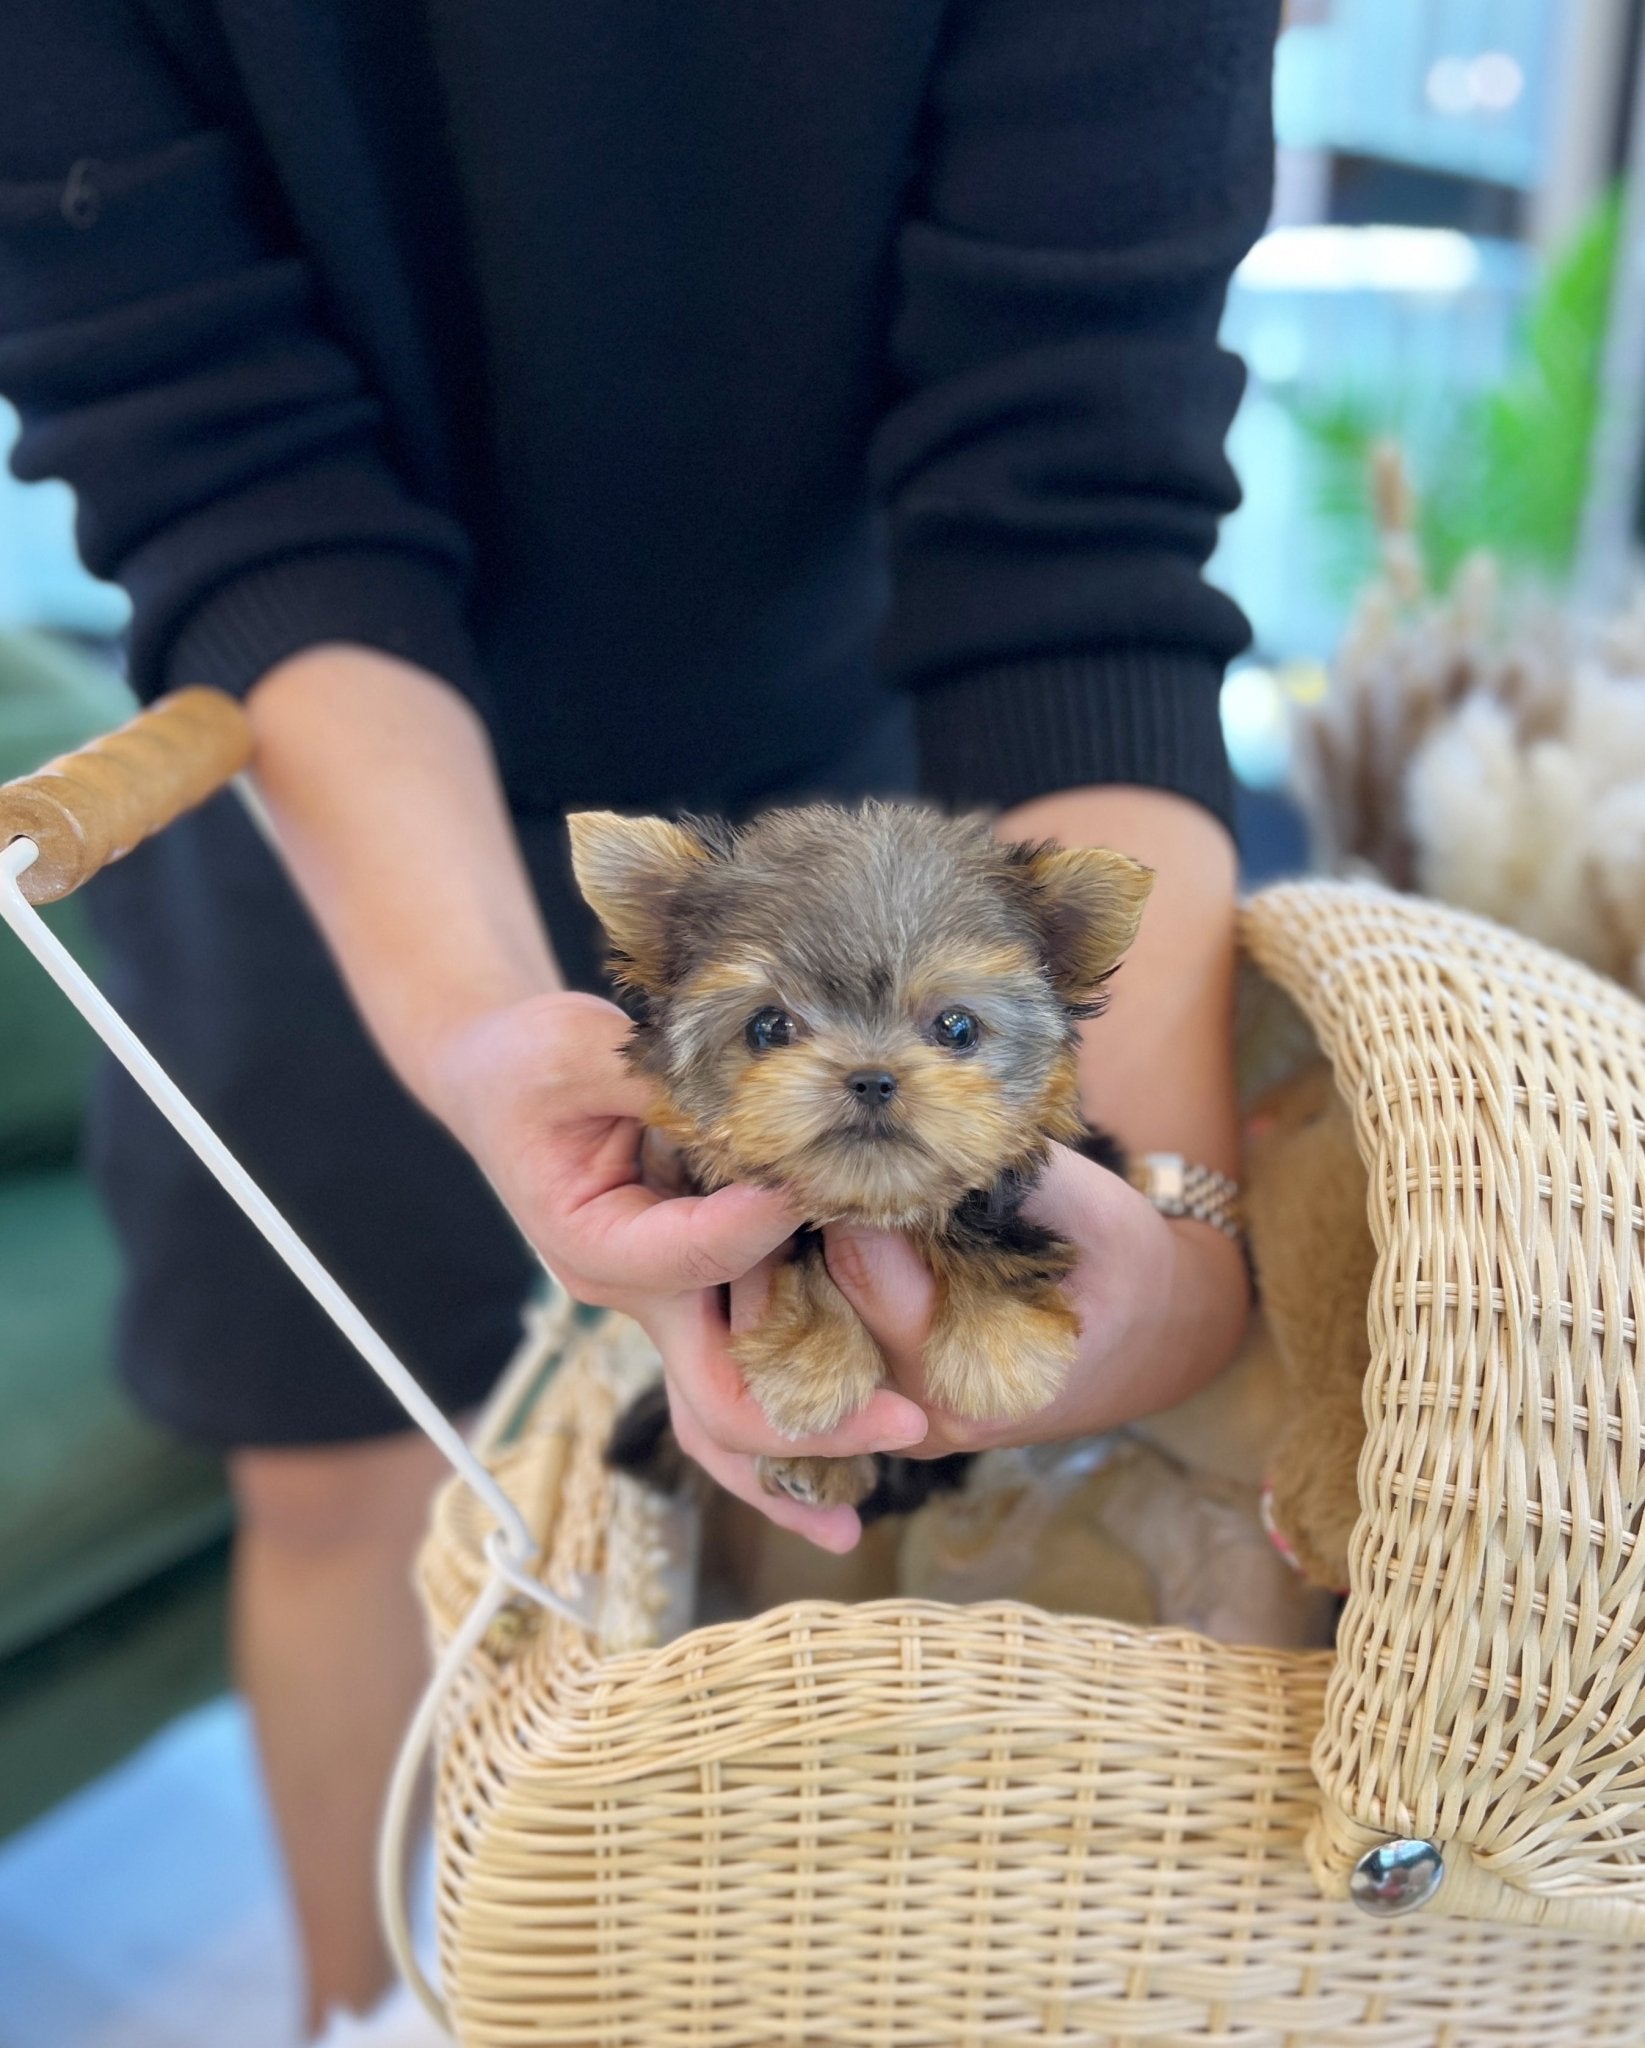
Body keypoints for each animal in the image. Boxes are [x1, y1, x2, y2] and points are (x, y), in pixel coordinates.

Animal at [573, 806, 1155, 1515]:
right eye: (769, 1028)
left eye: (956, 1027)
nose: (872, 1078)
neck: (875, 1203)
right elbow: (801, 1250)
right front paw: (811, 1368)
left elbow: (980, 1216)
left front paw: (999, 1345)